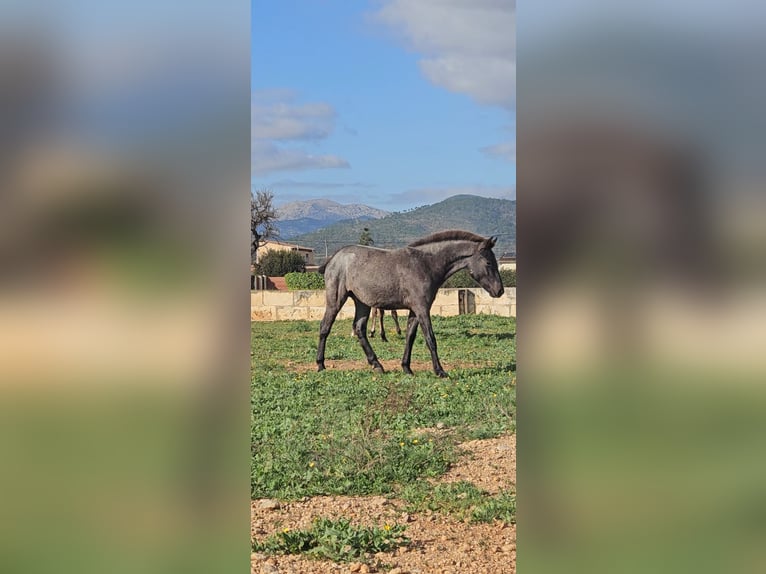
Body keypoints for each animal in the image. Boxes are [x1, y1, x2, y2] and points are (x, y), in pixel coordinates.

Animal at [316, 230, 508, 378]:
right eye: (488, 262)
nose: (499, 290)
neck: (425, 263)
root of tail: (334, 258)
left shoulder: (415, 311)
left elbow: (410, 336)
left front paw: (407, 368)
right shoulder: (422, 309)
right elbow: (430, 338)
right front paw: (440, 371)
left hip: (362, 303)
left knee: (359, 329)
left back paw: (377, 365)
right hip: (336, 299)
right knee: (325, 327)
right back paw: (320, 364)